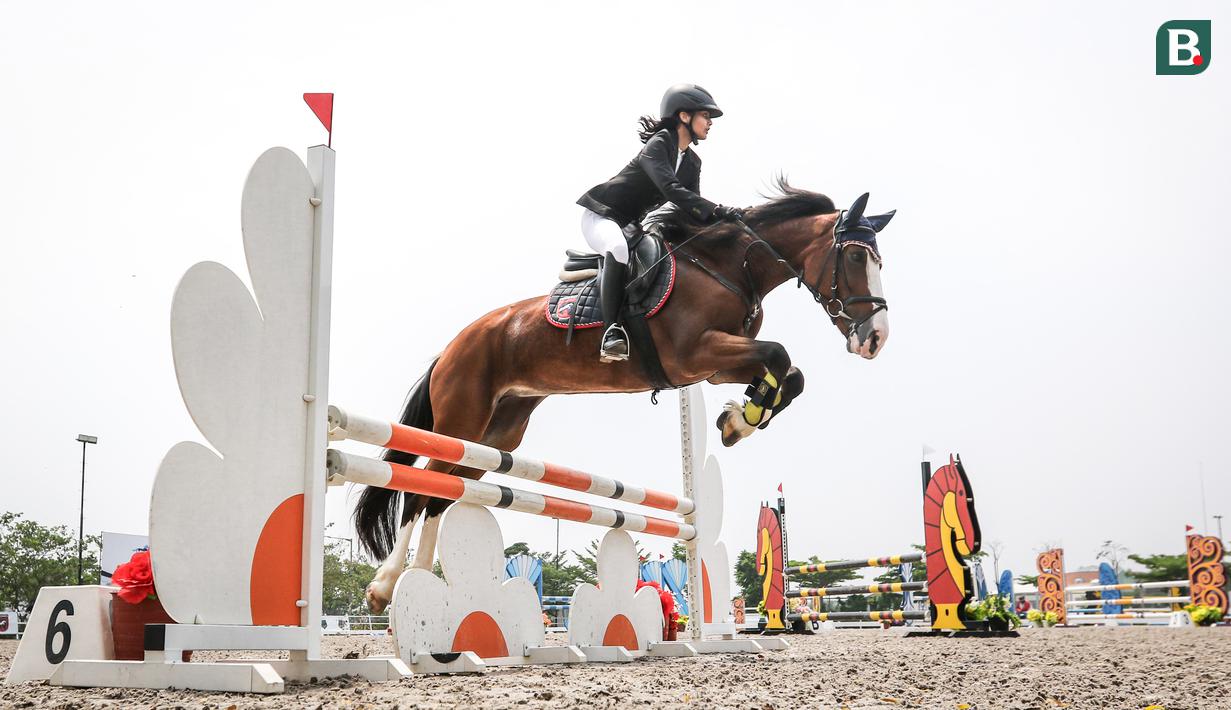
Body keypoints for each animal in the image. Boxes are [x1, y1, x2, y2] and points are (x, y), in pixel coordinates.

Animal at [355, 183, 897, 612]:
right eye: (855, 257)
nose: (875, 339)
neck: (727, 267)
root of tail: (452, 346)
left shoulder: (714, 365)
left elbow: (790, 372)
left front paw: (739, 418)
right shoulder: (696, 354)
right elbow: (779, 354)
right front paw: (742, 418)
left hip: (496, 435)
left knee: (440, 494)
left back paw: (417, 582)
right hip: (461, 420)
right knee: (419, 490)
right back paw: (386, 588)